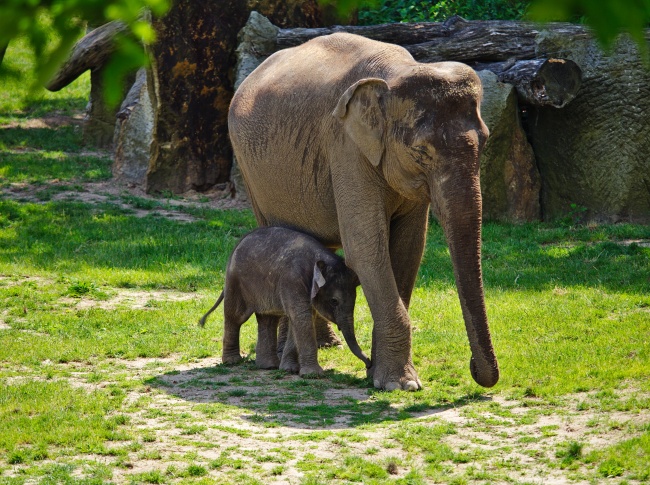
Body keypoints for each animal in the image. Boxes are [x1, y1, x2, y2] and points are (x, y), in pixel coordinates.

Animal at [197, 226, 370, 374]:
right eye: (334, 301)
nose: (369, 363)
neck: (320, 260)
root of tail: (239, 242)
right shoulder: (292, 280)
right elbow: (301, 318)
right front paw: (313, 374)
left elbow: (301, 319)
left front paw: (289, 370)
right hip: (236, 281)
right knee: (235, 317)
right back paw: (232, 362)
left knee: (268, 319)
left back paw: (268, 366)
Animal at [228, 33, 496, 390]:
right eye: (421, 151)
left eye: (486, 140)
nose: (473, 368)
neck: (396, 73)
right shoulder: (346, 147)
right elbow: (367, 250)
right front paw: (399, 384)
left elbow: (408, 252)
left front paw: (381, 375)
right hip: (250, 171)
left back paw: (325, 345)